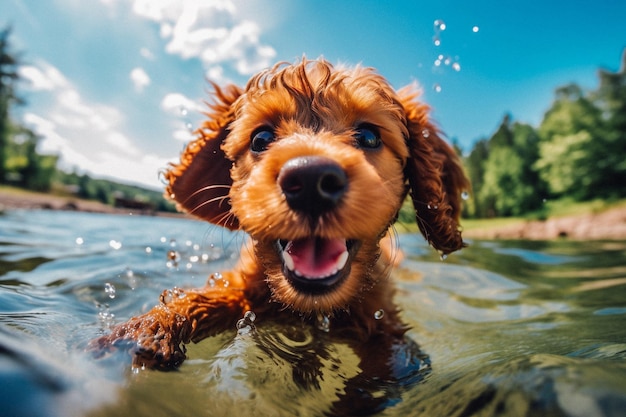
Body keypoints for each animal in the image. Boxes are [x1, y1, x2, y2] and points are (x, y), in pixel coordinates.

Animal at [90, 57, 466, 412]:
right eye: (261, 138)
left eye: (370, 136)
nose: (311, 180)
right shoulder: (246, 287)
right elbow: (208, 297)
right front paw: (149, 327)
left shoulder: (386, 328)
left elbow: (378, 375)